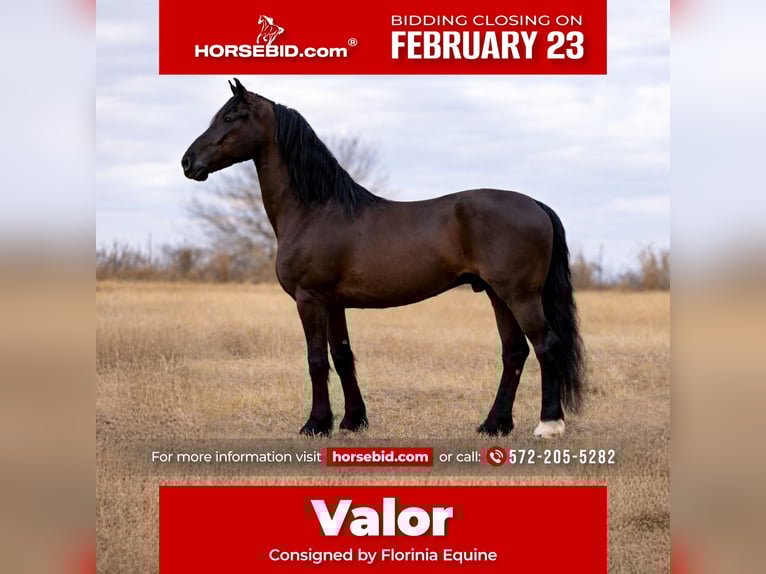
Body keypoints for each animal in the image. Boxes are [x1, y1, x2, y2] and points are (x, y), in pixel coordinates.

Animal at [181, 78, 585, 438]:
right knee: (514, 352)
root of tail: (536, 205)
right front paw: (352, 421)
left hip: (520, 296)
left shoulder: (309, 300)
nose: (188, 162)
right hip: (497, 295)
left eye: (229, 117)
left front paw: (315, 424)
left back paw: (549, 425)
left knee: (546, 345)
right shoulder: (334, 303)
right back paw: (494, 425)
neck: (316, 209)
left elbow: (316, 361)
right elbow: (342, 357)